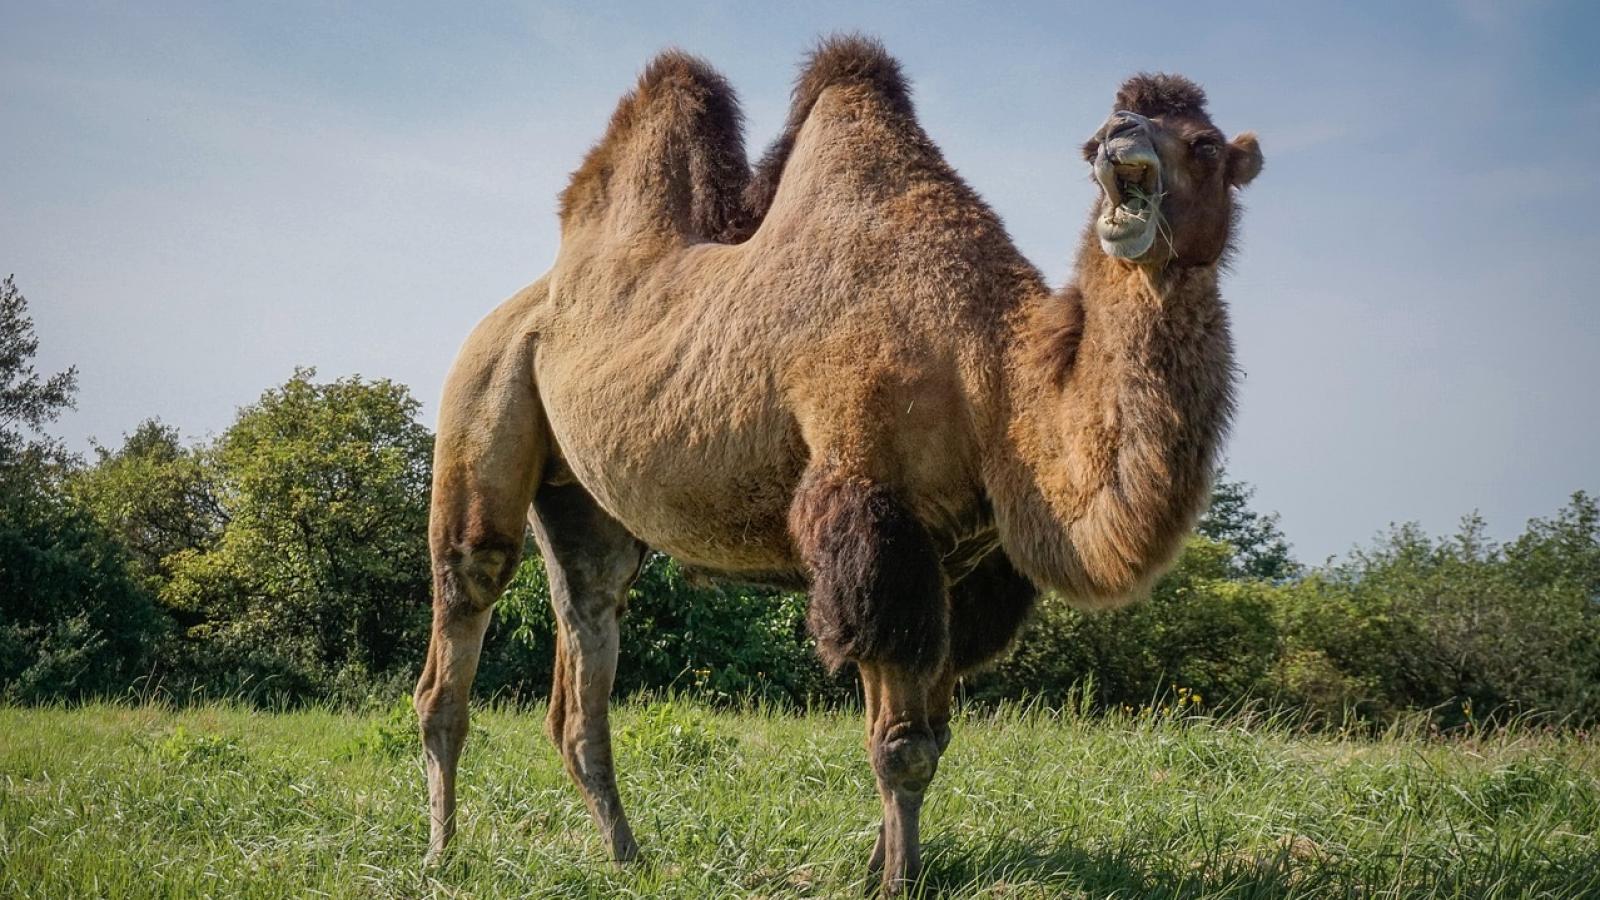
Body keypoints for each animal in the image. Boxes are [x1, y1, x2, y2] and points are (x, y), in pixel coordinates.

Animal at [414, 36, 1262, 894]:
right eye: (1097, 142)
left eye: (1203, 144)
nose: (1119, 137)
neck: (992, 368)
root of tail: (520, 307)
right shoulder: (873, 518)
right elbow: (902, 747)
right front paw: (896, 882)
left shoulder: (958, 566)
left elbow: (930, 736)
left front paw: (877, 867)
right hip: (483, 393)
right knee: (461, 615)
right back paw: (443, 851)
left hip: (586, 503)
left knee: (586, 635)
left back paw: (627, 854)